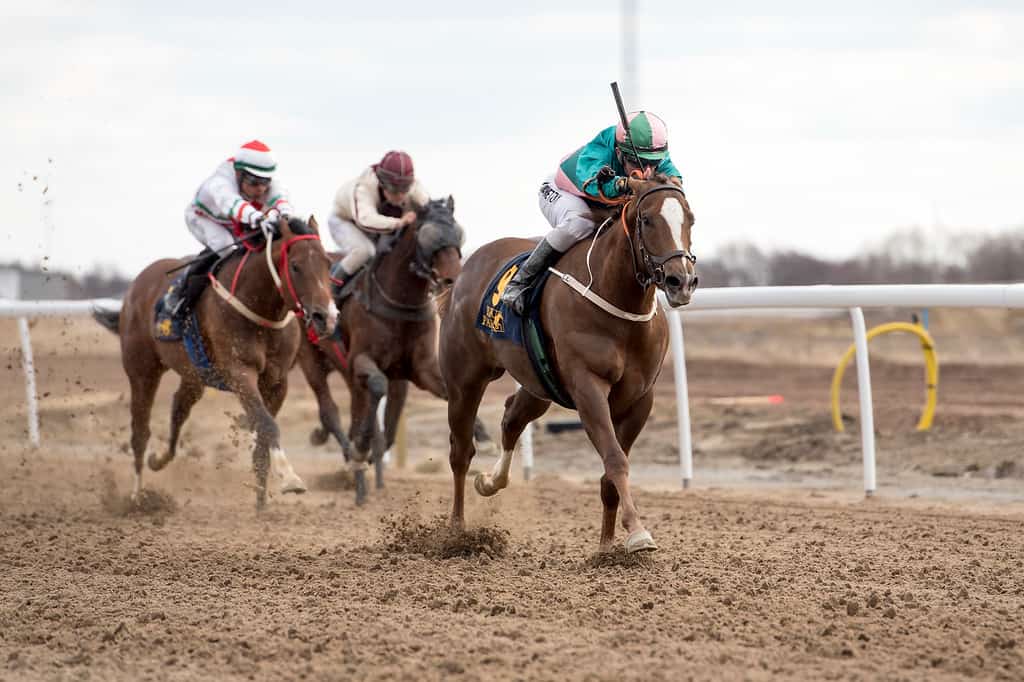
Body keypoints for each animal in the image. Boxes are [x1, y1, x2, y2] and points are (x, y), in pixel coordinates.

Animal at [93, 215, 335, 507]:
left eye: (328, 263)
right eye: (296, 266)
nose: (326, 317)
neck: (259, 308)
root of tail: (135, 287)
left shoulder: (277, 381)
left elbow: (262, 442)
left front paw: (261, 505)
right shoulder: (240, 373)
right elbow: (268, 425)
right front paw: (290, 478)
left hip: (194, 375)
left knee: (179, 408)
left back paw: (158, 459)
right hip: (142, 370)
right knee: (140, 432)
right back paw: (137, 498)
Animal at [296, 193, 491, 501]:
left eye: (457, 234)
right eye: (429, 238)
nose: (453, 280)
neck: (399, 302)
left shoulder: (419, 371)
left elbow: (443, 393)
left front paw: (481, 434)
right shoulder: (361, 360)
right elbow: (377, 387)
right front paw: (361, 450)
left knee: (364, 413)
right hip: (312, 359)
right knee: (330, 411)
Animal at [440, 176, 696, 552]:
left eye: (690, 219)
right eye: (648, 220)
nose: (682, 281)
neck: (617, 298)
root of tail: (466, 269)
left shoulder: (640, 398)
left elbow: (609, 474)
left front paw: (607, 548)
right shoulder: (587, 387)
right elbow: (615, 459)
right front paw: (637, 532)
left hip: (538, 384)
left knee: (511, 417)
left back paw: (490, 481)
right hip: (464, 380)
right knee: (460, 451)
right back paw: (457, 531)